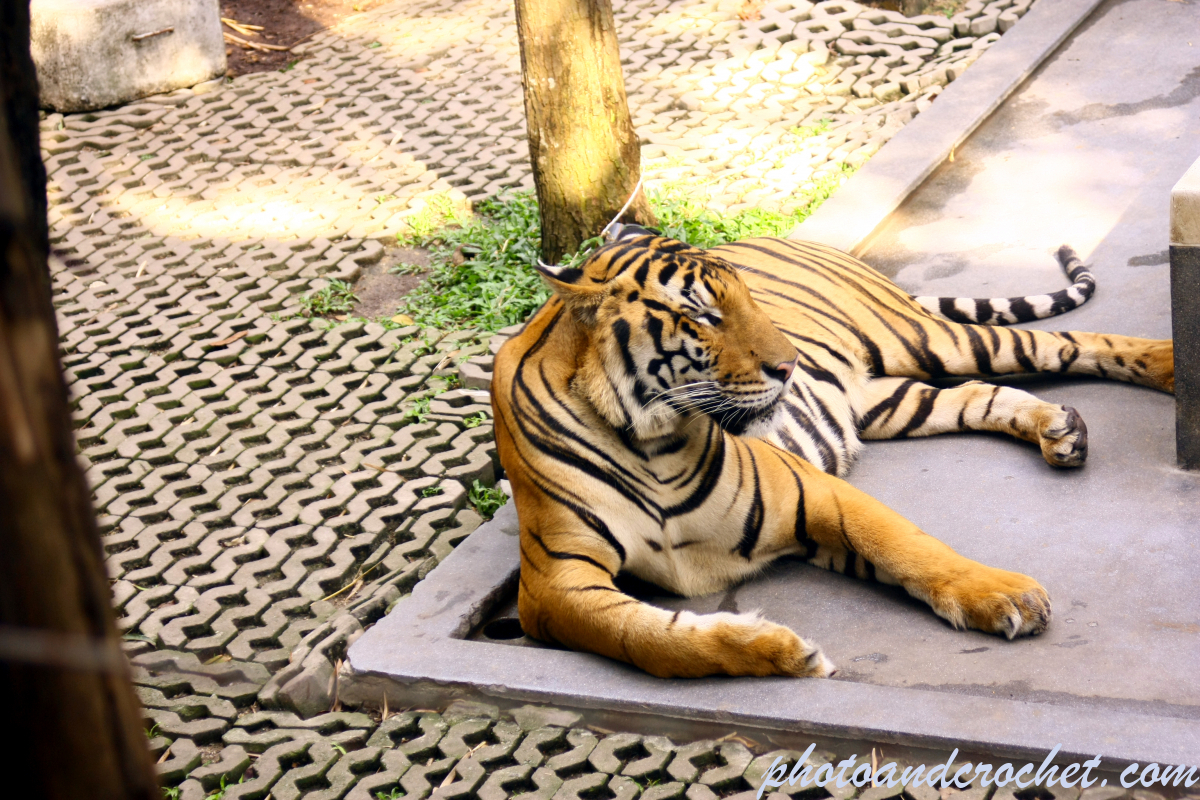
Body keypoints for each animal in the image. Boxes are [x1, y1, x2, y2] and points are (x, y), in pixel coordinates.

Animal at [490, 226, 1175, 679]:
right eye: (703, 316)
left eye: (746, 300)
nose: (790, 365)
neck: (648, 437)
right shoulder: (554, 583)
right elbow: (645, 638)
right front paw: (779, 651)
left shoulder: (806, 489)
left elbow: (905, 545)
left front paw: (1006, 598)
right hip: (886, 402)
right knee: (976, 395)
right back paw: (1059, 430)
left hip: (930, 339)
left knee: (1069, 341)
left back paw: (1166, 367)